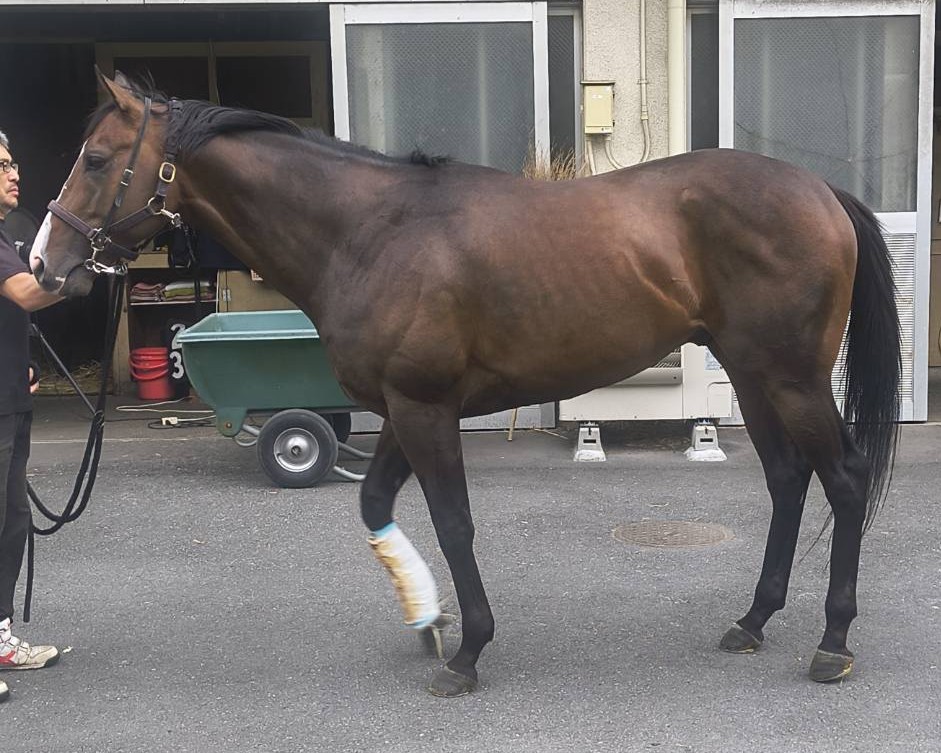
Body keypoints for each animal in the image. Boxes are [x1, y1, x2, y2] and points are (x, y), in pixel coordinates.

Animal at [30, 72, 900, 697]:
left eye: (97, 161)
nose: (43, 264)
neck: (368, 232)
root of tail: (819, 192)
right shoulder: (399, 409)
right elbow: (373, 502)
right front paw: (426, 615)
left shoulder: (424, 407)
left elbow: (453, 522)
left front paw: (467, 648)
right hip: (752, 375)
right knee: (787, 480)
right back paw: (752, 618)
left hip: (790, 378)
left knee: (842, 477)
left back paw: (831, 641)